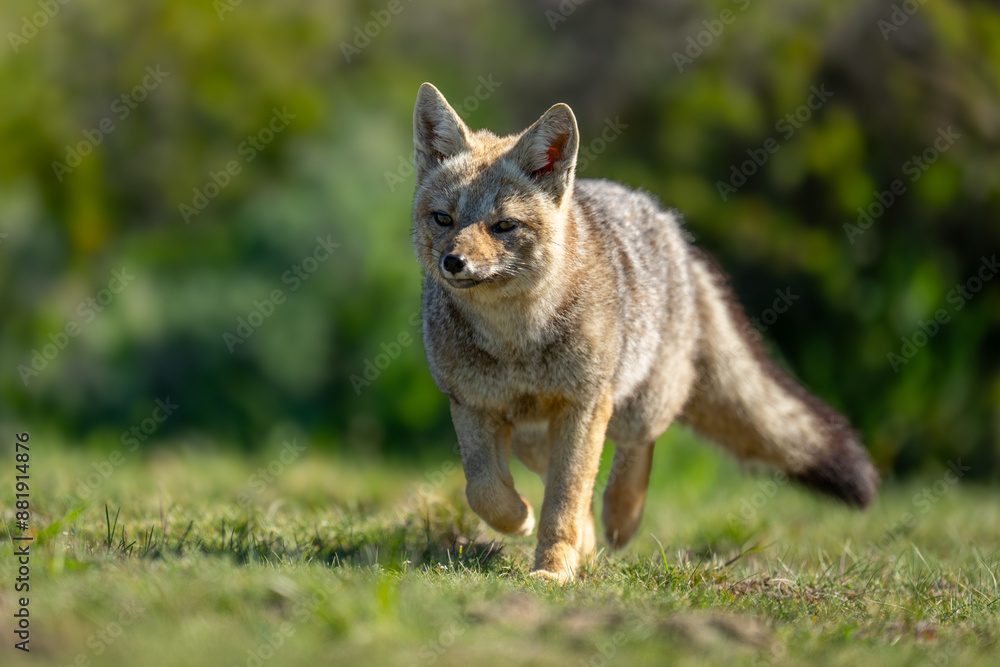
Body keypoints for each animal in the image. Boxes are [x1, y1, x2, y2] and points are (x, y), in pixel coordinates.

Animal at [410, 82, 880, 584]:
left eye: (503, 226)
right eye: (443, 219)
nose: (454, 262)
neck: (514, 341)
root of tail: (673, 229)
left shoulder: (584, 407)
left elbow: (564, 502)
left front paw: (553, 570)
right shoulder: (473, 405)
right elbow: (484, 490)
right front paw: (520, 519)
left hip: (634, 407)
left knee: (636, 449)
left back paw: (621, 517)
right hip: (534, 438)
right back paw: (588, 540)